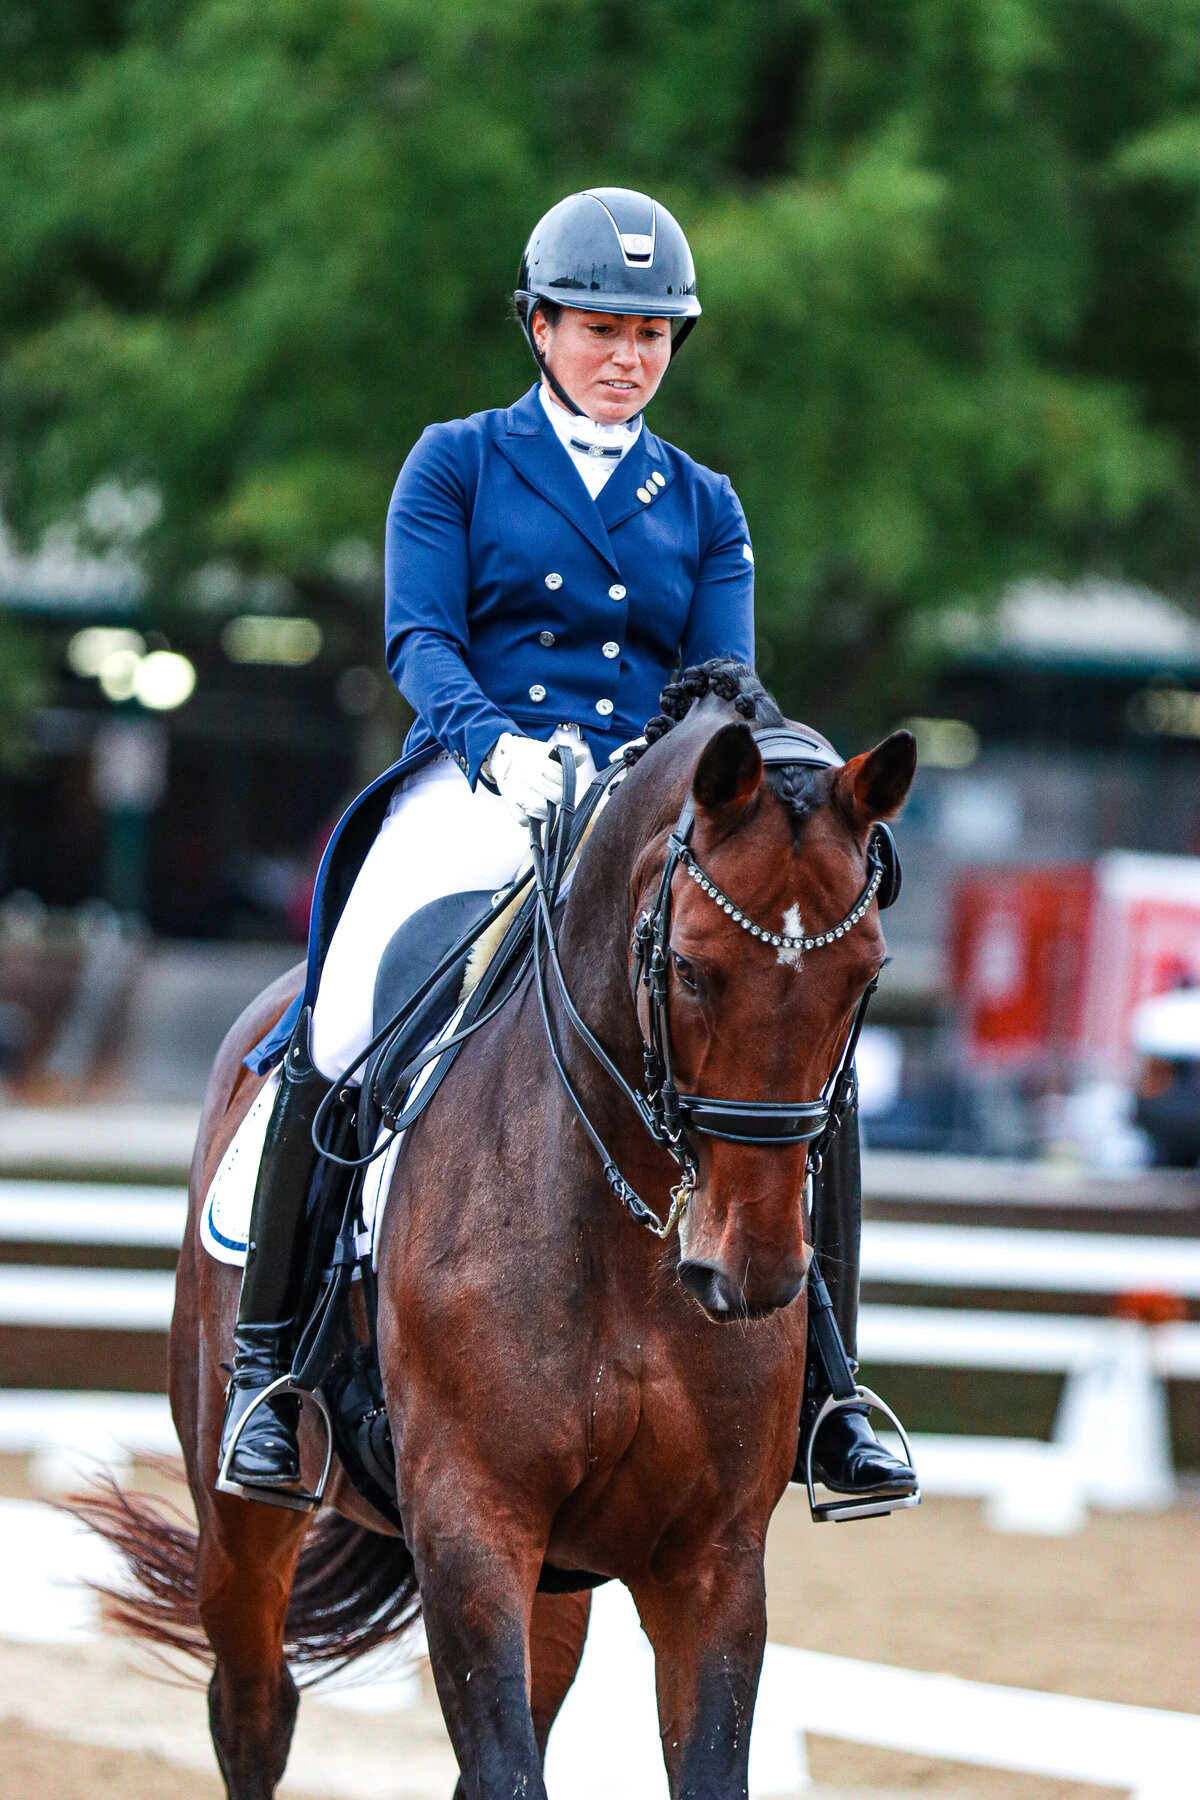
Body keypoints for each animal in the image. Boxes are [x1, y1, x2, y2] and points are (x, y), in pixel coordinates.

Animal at [80, 663, 916, 1800]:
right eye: (689, 967)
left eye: (865, 975)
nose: (749, 1274)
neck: (626, 1231)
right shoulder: (471, 1527)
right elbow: (504, 1768)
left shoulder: (710, 1559)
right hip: (245, 1518)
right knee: (251, 1707)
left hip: (561, 1578)